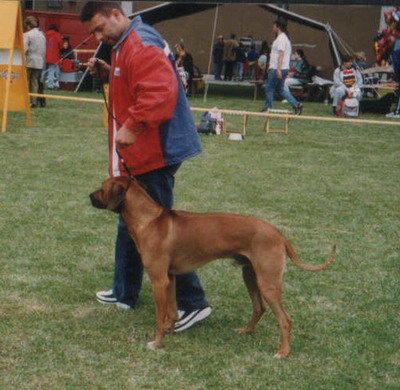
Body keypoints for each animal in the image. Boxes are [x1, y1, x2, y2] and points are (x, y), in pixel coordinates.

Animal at [90, 177, 334, 356]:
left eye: (102, 188)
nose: (89, 196)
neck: (149, 220)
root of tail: (278, 233)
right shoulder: (170, 277)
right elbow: (172, 311)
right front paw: (170, 331)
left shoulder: (158, 280)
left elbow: (160, 316)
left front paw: (157, 343)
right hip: (250, 275)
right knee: (259, 308)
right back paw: (246, 330)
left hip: (268, 283)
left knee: (285, 320)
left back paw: (283, 352)